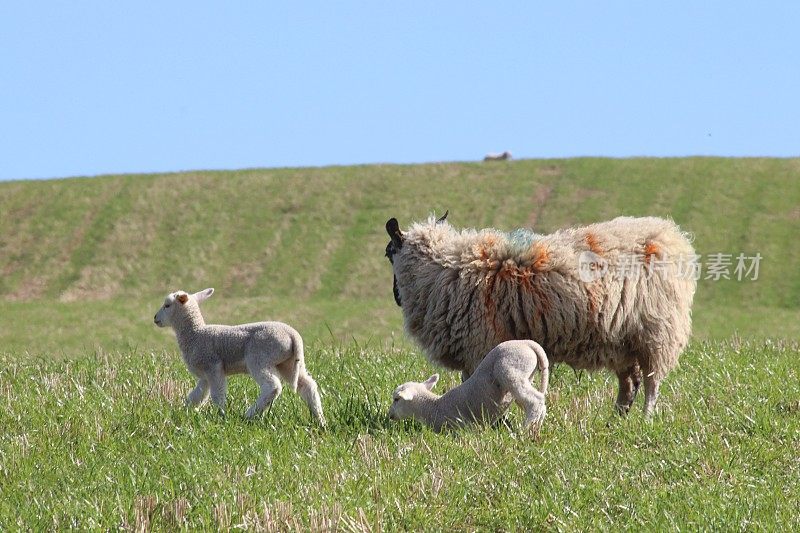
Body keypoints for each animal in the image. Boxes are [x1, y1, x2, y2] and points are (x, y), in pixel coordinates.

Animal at [152, 286, 324, 424]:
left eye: (167, 305)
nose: (155, 318)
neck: (195, 334)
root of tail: (293, 335)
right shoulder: (205, 375)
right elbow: (197, 396)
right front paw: (183, 411)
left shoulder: (213, 366)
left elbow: (217, 394)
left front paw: (220, 415)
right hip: (289, 363)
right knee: (308, 385)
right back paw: (320, 420)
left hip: (259, 358)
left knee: (272, 386)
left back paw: (249, 414)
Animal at [384, 212, 696, 416]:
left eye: (388, 252)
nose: (395, 297)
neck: (443, 271)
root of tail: (673, 236)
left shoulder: (480, 345)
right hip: (622, 340)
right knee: (630, 382)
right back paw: (616, 420)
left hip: (657, 330)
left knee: (652, 381)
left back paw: (646, 419)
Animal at [388, 340, 552, 432]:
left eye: (396, 399)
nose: (390, 415)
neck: (434, 406)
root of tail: (529, 343)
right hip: (526, 375)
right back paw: (535, 429)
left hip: (512, 370)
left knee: (535, 400)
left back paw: (523, 431)